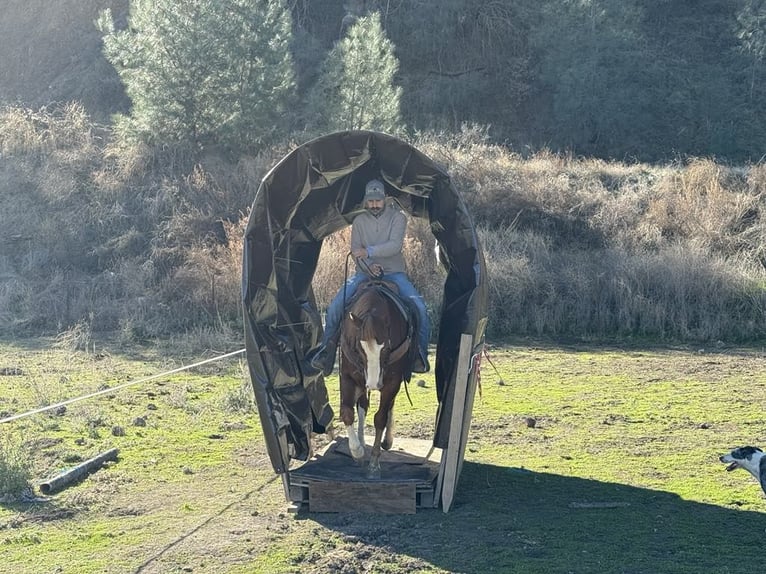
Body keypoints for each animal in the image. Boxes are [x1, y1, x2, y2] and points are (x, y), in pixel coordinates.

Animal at [340, 282, 414, 480]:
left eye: (387, 348)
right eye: (359, 348)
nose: (373, 384)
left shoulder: (392, 382)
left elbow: (380, 418)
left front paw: (374, 464)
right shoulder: (348, 377)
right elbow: (347, 412)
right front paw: (357, 451)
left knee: (389, 407)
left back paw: (387, 440)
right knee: (362, 406)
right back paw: (361, 442)